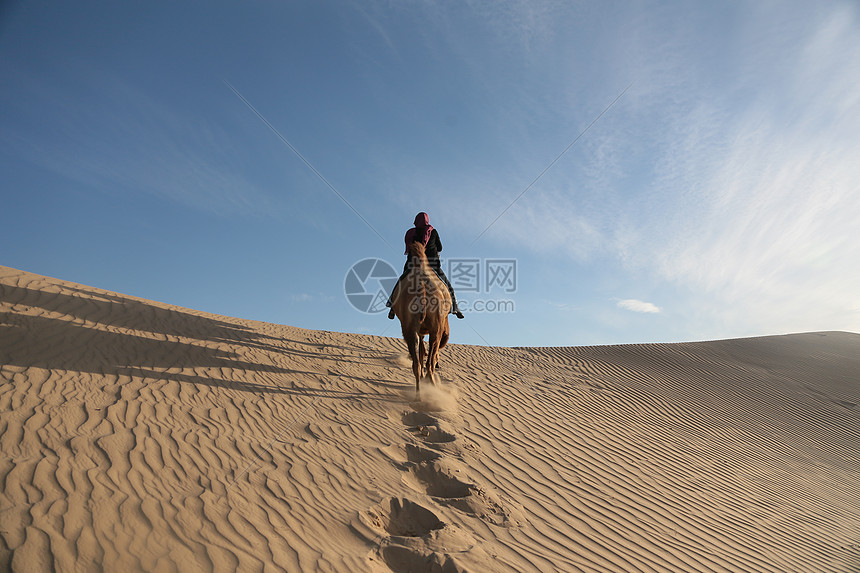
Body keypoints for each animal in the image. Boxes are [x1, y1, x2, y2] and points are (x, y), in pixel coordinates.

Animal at [390, 240, 454, 394]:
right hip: (435, 329)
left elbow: (421, 352)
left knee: (417, 363)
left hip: (410, 327)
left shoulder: (420, 330)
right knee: (429, 361)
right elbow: (428, 353)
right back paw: (434, 387)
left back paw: (420, 393)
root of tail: (422, 287)